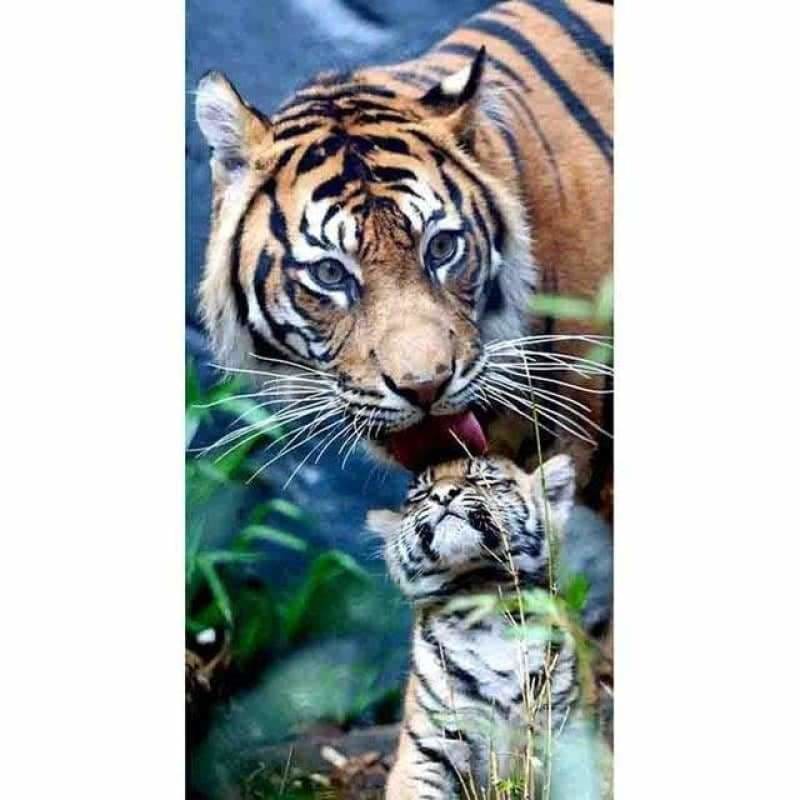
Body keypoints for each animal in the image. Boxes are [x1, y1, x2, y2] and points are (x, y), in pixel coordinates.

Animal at [368, 453, 592, 799]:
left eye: (483, 479)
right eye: (419, 495)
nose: (442, 494)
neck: (483, 596)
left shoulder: (567, 739)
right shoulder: (427, 747)